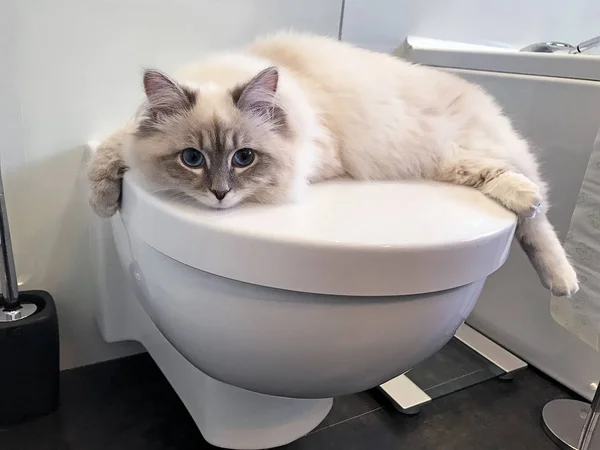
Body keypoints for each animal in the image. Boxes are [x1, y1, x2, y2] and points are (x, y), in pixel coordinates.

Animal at [86, 32, 580, 298]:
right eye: (192, 159)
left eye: (243, 158)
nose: (220, 194)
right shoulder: (128, 139)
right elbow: (112, 151)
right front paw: (104, 202)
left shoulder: (316, 159)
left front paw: (102, 202)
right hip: (449, 162)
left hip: (479, 152)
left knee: (537, 216)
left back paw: (562, 278)